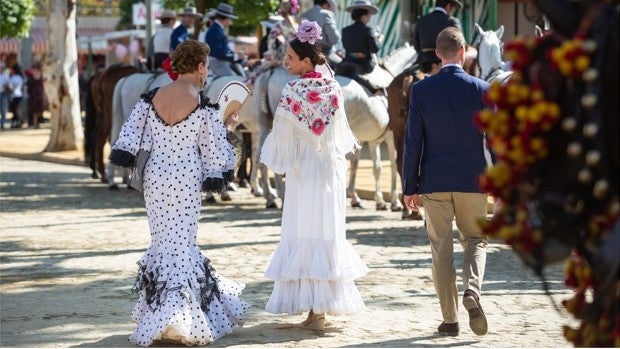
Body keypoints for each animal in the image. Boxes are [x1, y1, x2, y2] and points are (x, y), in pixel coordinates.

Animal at [252, 42, 416, 209]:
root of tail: (271, 70)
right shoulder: (390, 136)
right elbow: (390, 166)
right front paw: (393, 201)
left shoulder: (367, 138)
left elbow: (363, 164)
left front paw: (362, 197)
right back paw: (279, 194)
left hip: (265, 125)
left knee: (261, 159)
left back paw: (270, 196)